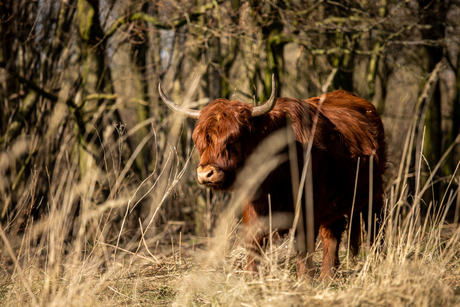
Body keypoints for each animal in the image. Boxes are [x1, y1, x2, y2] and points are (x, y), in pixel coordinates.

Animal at [158, 76, 384, 280]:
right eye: (199, 140)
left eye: (233, 138)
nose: (206, 173)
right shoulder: (253, 206)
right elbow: (253, 243)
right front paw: (251, 280)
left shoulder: (309, 206)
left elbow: (304, 245)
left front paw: (304, 281)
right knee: (332, 234)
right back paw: (328, 277)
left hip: (375, 195)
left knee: (373, 229)